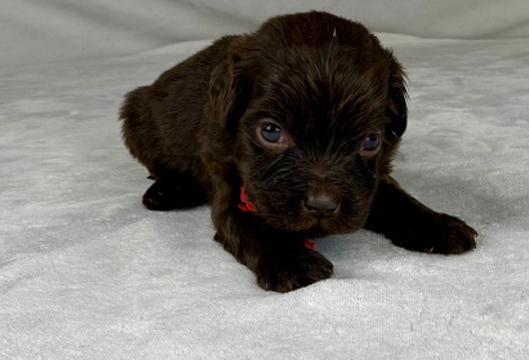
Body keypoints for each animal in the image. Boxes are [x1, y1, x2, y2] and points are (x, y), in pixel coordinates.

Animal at [121, 11, 476, 292]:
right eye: (271, 131)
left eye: (370, 142)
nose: (321, 206)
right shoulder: (228, 180)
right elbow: (252, 225)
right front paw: (293, 261)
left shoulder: (371, 181)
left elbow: (397, 199)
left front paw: (438, 224)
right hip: (137, 116)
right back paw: (168, 191)